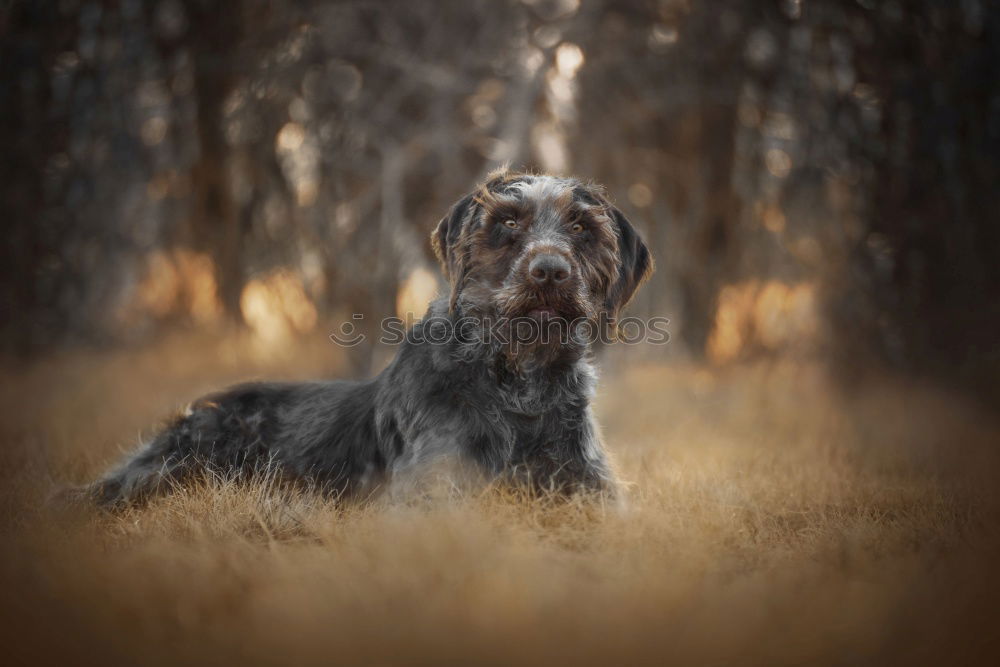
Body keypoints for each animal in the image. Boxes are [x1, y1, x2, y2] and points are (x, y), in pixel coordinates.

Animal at [88, 168, 656, 506]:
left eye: (581, 227)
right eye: (507, 222)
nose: (549, 271)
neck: (520, 383)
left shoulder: (586, 492)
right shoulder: (432, 489)